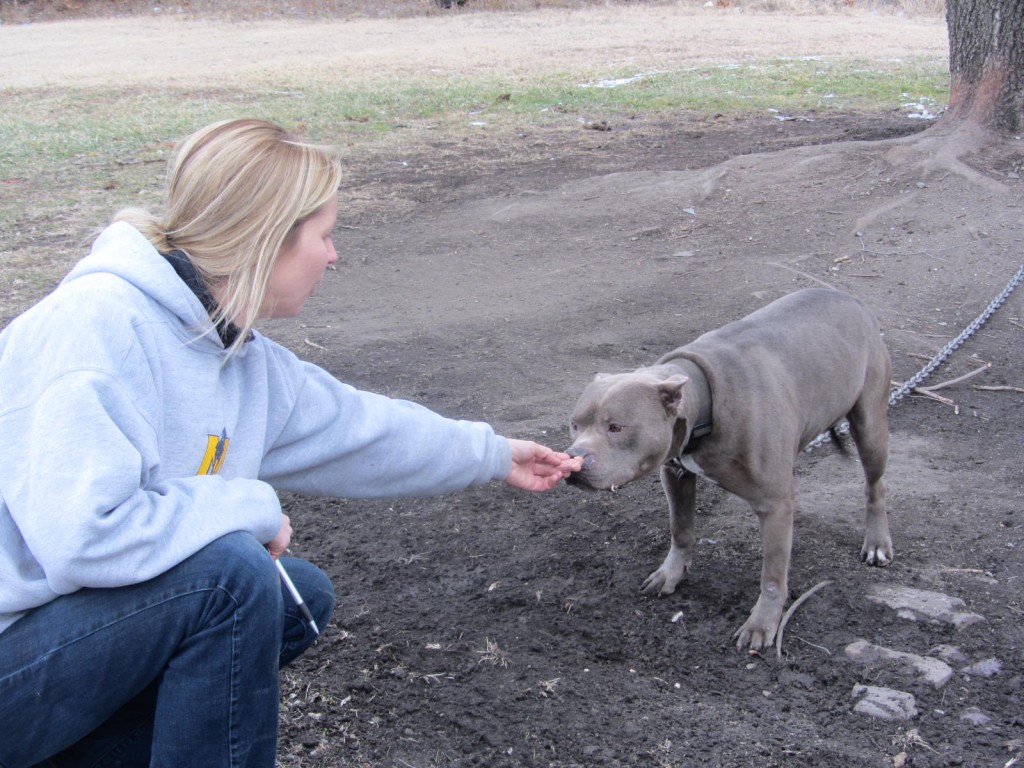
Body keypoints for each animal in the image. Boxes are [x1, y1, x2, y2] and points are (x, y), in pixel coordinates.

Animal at [565, 288, 892, 651]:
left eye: (616, 427)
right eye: (575, 425)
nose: (573, 460)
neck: (703, 404)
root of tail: (848, 297)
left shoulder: (775, 504)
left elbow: (772, 575)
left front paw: (762, 623)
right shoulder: (675, 475)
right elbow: (681, 530)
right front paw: (671, 574)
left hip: (870, 424)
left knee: (875, 484)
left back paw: (877, 542)